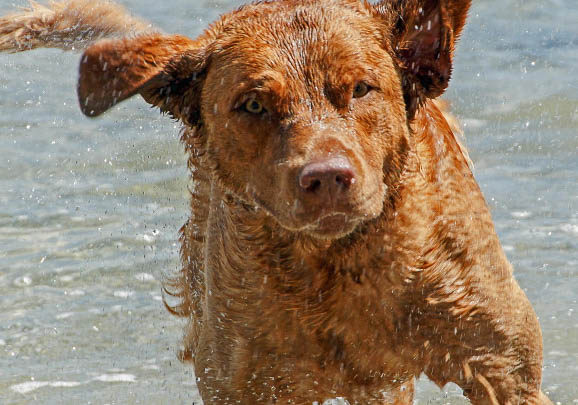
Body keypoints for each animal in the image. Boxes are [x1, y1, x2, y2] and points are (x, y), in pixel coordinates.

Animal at [0, 0, 552, 404]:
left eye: (361, 89)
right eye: (253, 104)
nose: (327, 176)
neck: (339, 266)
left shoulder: (505, 372)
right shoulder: (244, 382)